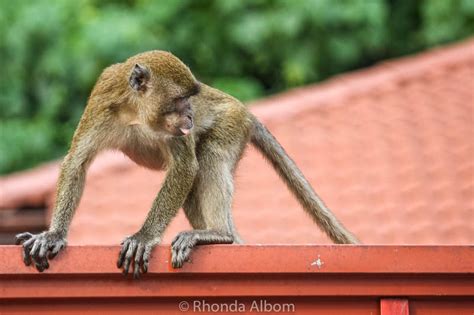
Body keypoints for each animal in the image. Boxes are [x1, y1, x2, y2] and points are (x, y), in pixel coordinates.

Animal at [15, 50, 360, 280]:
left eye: (191, 99)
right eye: (181, 100)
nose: (191, 115)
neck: (136, 112)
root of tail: (246, 110)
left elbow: (185, 168)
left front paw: (144, 237)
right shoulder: (103, 99)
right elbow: (77, 162)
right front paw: (54, 235)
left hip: (232, 123)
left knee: (209, 158)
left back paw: (218, 234)